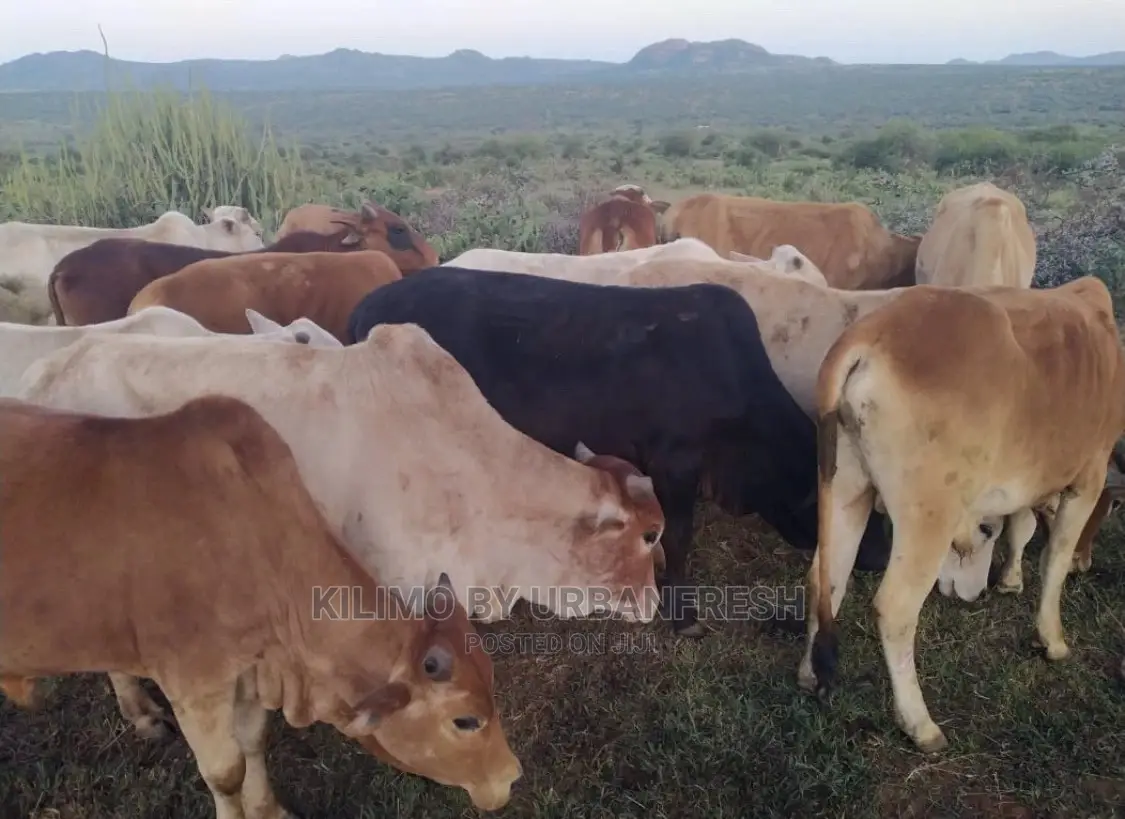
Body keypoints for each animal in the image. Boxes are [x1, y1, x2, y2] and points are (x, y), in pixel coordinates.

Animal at [0, 394, 521, 814]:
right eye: (465, 721)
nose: (511, 776)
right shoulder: (195, 681)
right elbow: (225, 772)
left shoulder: (252, 666)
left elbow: (253, 741)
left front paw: (267, 809)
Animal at [345, 265, 889, 637]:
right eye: (860, 515)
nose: (882, 555)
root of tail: (366, 306)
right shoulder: (674, 463)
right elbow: (679, 535)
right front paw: (681, 612)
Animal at [797, 277, 1125, 753]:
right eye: (1113, 505)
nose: (1088, 562)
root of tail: (871, 335)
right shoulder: (1089, 476)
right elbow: (1054, 560)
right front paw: (1052, 638)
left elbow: (1022, 526)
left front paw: (1010, 579)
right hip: (927, 514)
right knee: (895, 607)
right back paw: (920, 724)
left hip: (846, 487)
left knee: (825, 578)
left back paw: (808, 675)